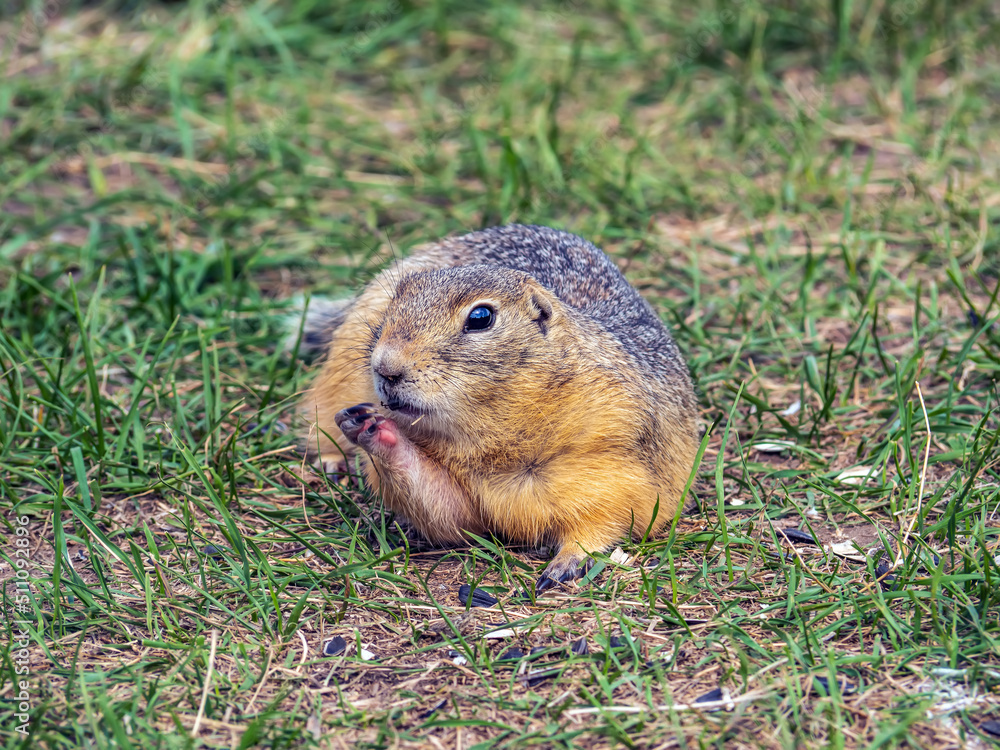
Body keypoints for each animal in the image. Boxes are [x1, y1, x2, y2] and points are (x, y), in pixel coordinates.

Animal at [300, 223, 700, 592]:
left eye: (480, 318)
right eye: (395, 302)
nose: (385, 368)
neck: (492, 432)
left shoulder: (615, 452)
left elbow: (613, 515)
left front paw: (566, 563)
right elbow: (443, 509)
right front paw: (371, 428)